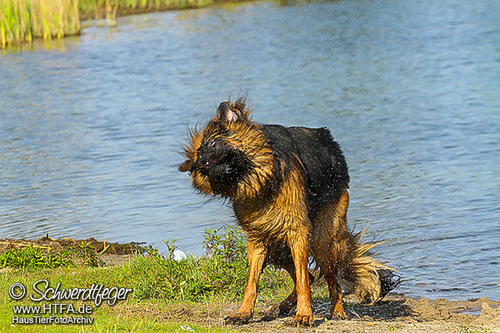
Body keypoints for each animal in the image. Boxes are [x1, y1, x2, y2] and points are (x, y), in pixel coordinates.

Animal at [180, 98, 398, 324]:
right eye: (198, 155)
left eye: (213, 144)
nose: (201, 165)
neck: (262, 183)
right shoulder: (257, 240)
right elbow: (252, 282)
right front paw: (244, 313)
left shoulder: (298, 233)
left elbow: (302, 281)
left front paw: (304, 315)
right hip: (277, 247)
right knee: (311, 276)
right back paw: (282, 306)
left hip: (322, 241)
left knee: (330, 280)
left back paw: (338, 310)